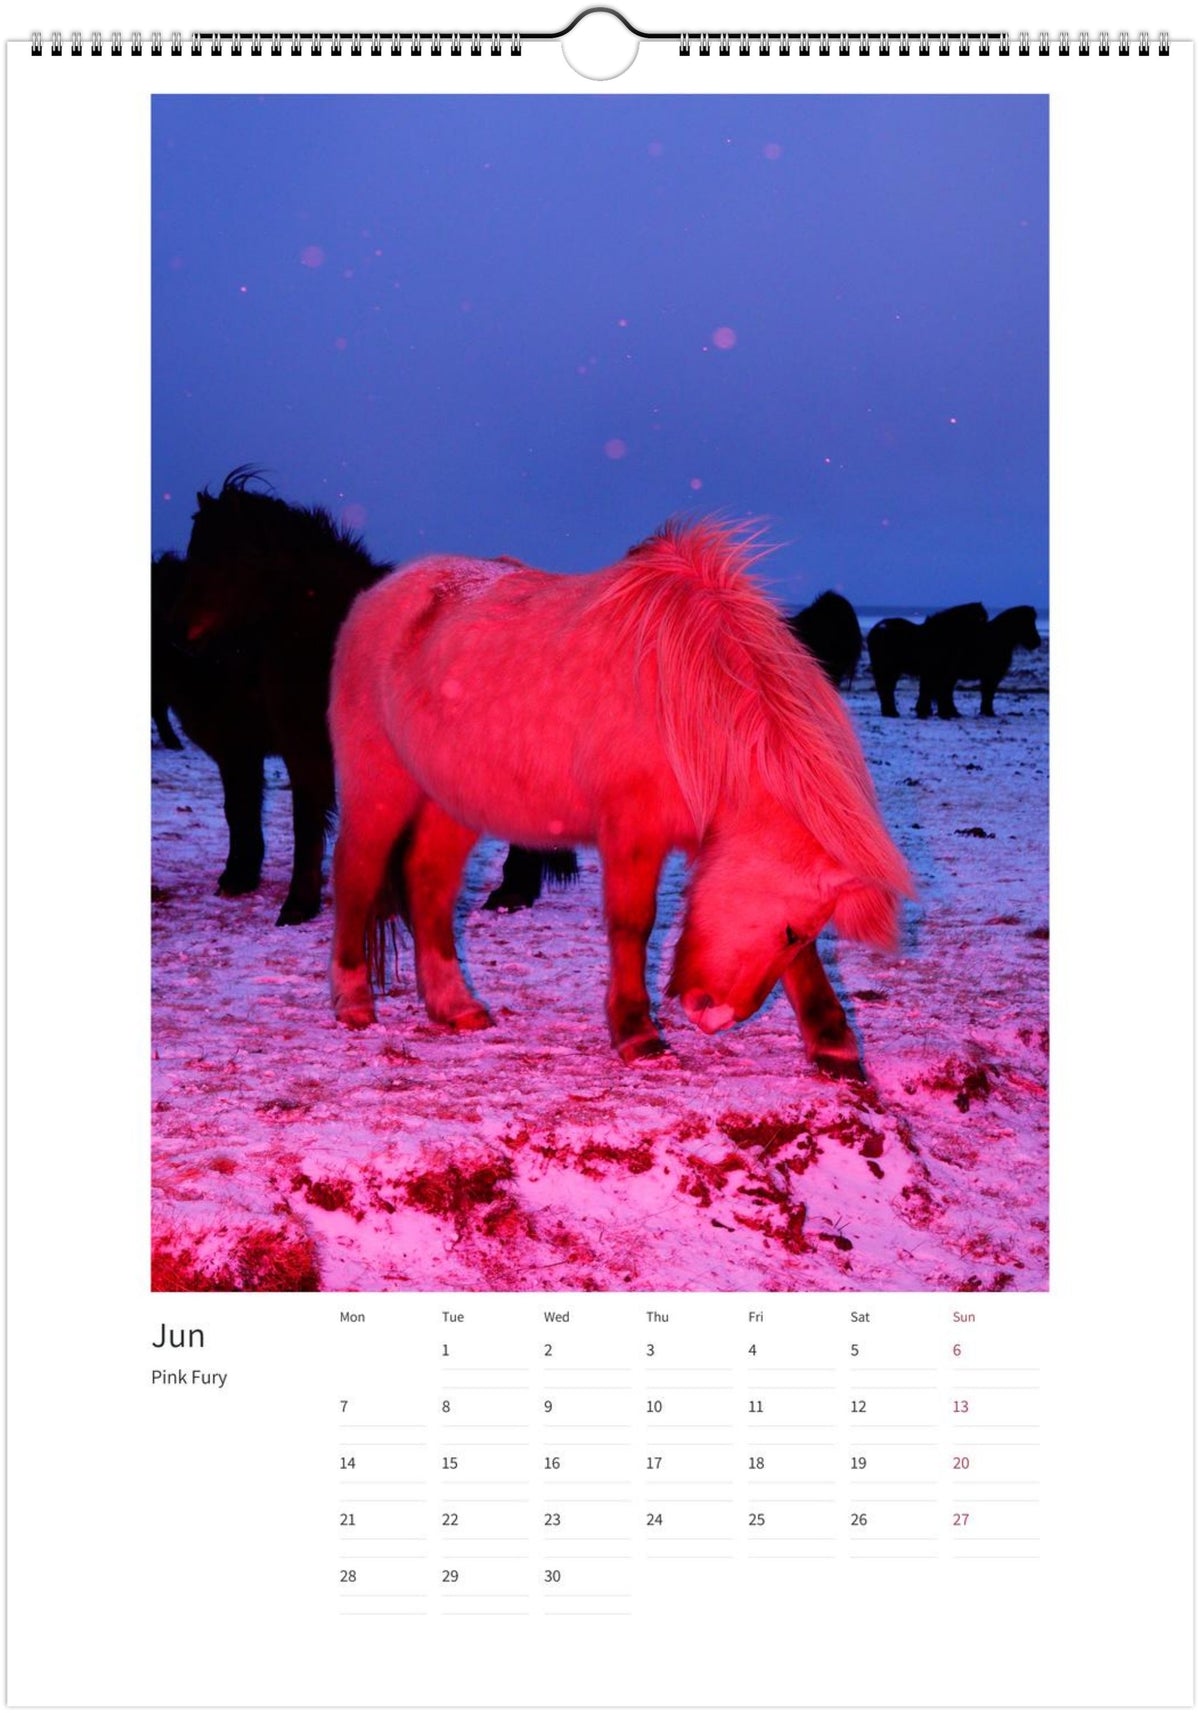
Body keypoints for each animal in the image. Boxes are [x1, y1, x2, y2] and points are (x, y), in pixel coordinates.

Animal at [161, 468, 575, 923]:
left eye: (224, 554)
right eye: (194, 551)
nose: (178, 632)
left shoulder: (298, 749)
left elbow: (305, 819)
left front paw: (299, 905)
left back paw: (512, 892)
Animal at [328, 519, 913, 1076]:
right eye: (788, 930)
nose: (713, 1017)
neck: (685, 700)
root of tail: (378, 595)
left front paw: (834, 1048)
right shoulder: (633, 831)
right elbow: (633, 925)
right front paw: (638, 1035)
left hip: (454, 801)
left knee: (430, 884)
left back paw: (454, 1006)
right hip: (378, 785)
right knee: (356, 872)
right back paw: (353, 1002)